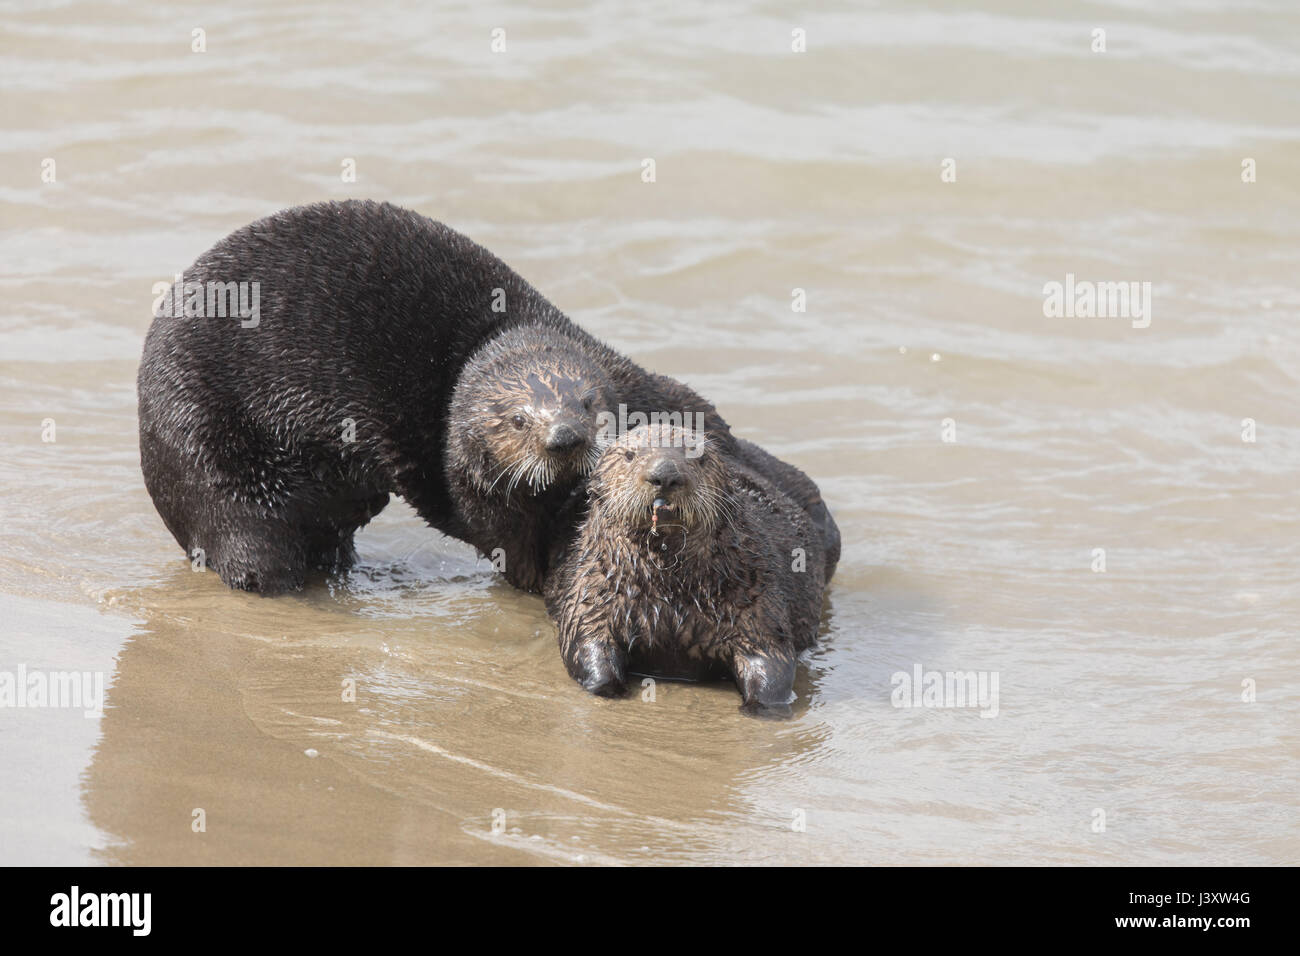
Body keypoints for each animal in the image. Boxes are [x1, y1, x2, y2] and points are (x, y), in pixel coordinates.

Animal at [142, 200, 738, 590]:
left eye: (588, 404)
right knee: (252, 550)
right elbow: (503, 538)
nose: (565, 436)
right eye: (518, 420)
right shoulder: (469, 486)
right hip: (212, 468)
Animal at [540, 421, 832, 712]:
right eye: (630, 455)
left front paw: (762, 707)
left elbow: (770, 657)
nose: (664, 475)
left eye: (698, 457)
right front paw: (608, 687)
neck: (669, 590)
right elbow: (585, 639)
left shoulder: (756, 597)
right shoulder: (593, 590)